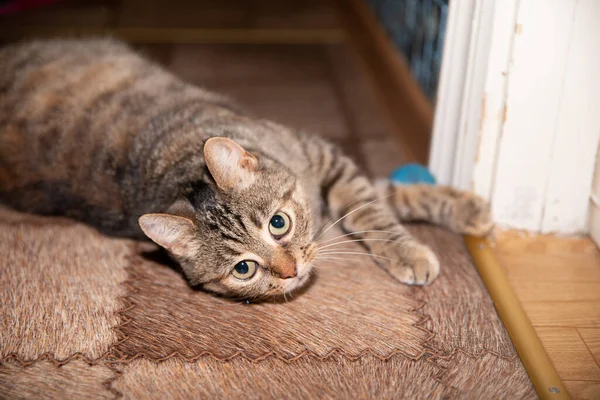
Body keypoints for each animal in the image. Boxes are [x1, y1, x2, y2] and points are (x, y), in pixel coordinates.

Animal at [0, 39, 492, 298]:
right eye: (243, 270)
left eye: (278, 223)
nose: (291, 271)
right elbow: (378, 202)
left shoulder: (325, 160)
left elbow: (376, 206)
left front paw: (461, 214)